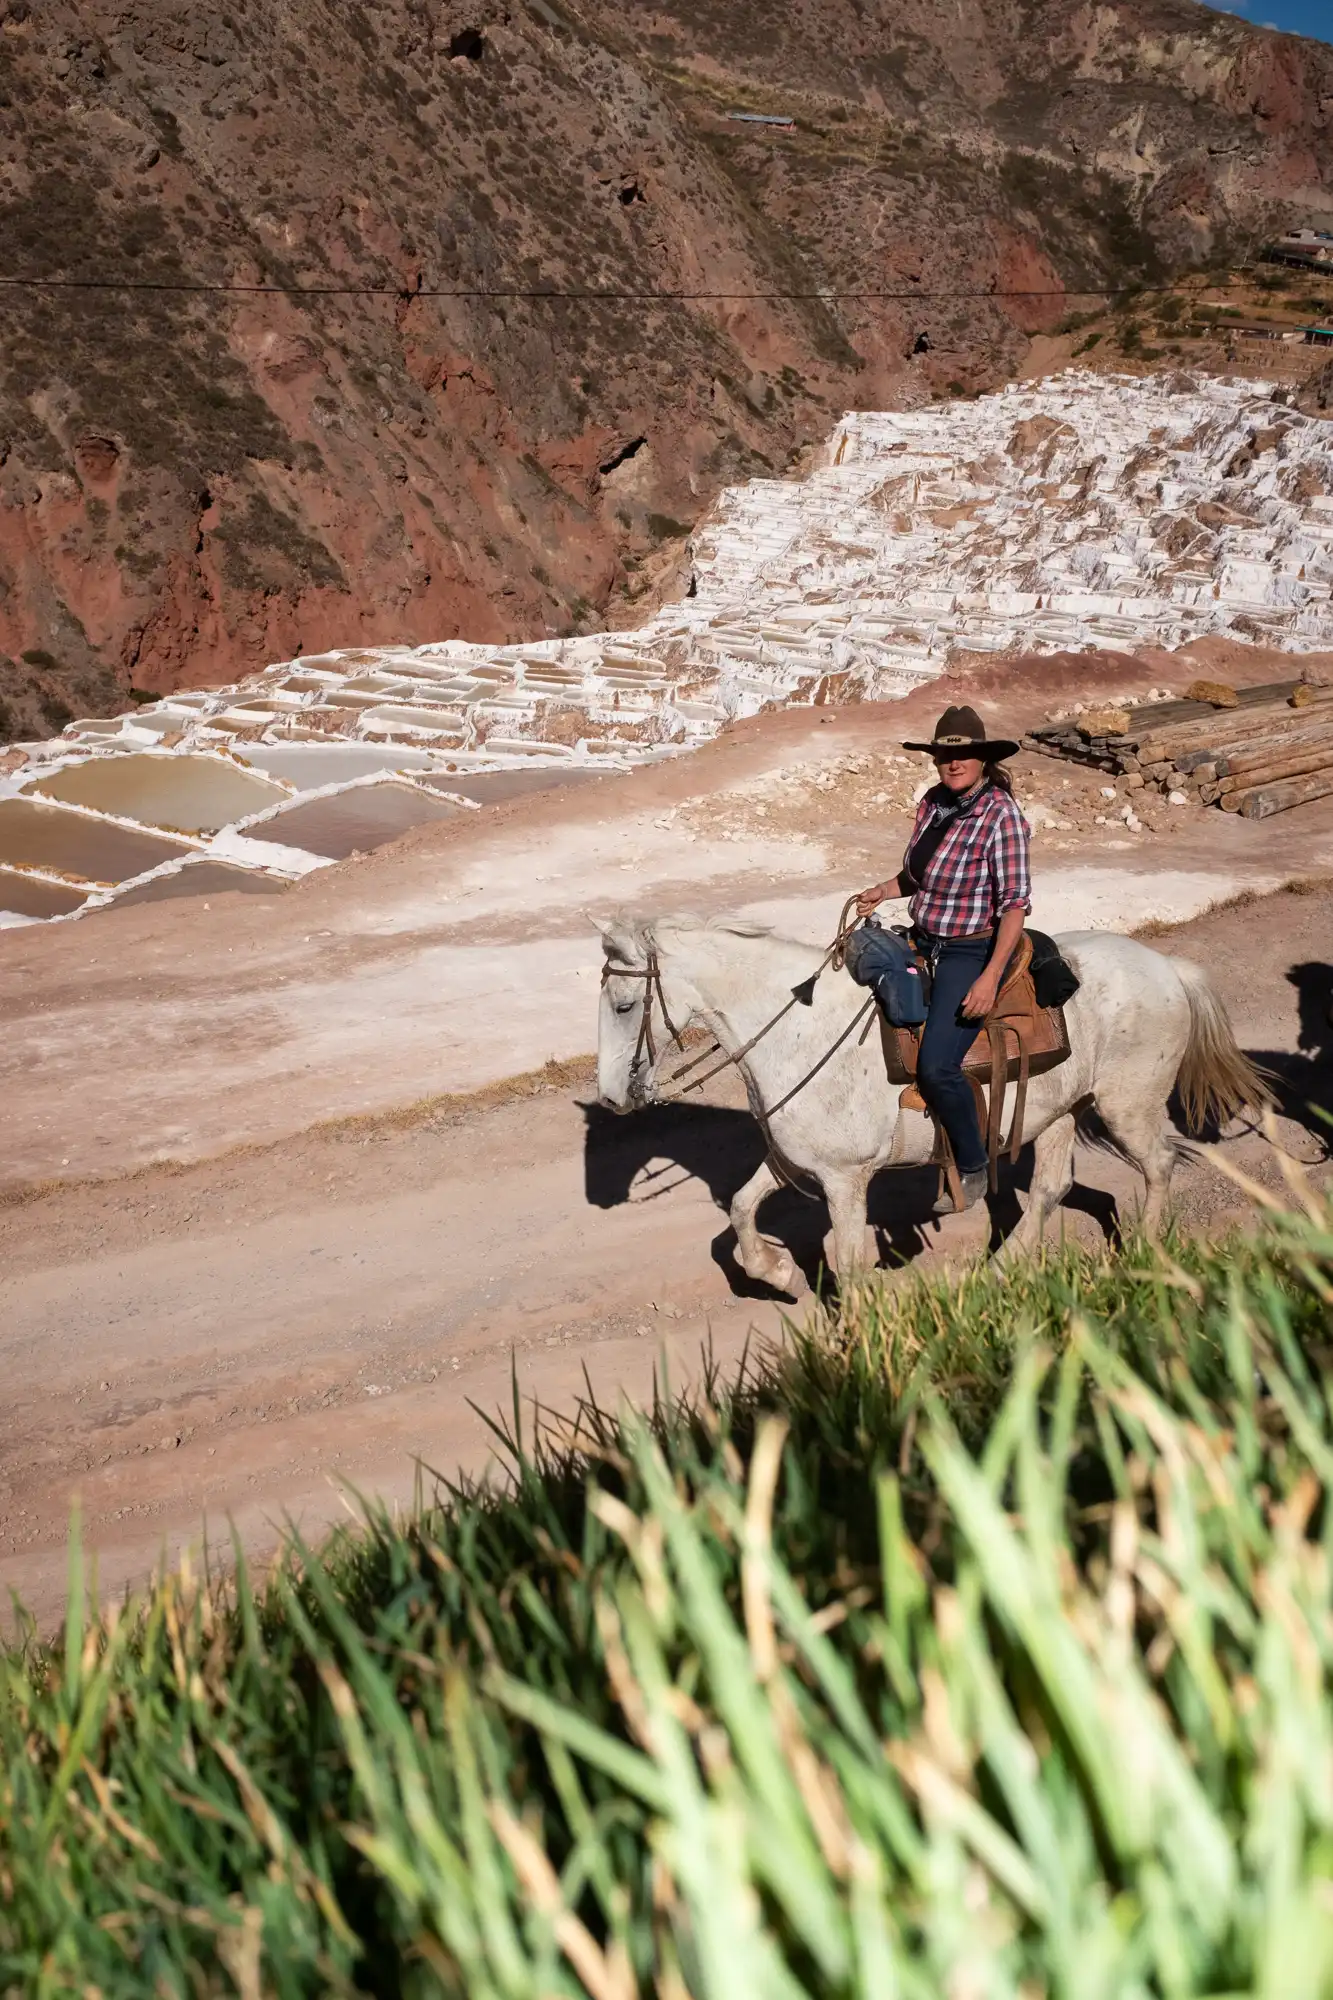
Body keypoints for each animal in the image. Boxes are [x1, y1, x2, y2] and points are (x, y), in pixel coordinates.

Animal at [592, 908, 1264, 1280]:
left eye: (624, 1006)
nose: (611, 1099)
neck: (798, 1031)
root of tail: (1168, 968)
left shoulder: (845, 1181)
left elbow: (850, 1264)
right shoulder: (792, 1162)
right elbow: (737, 1210)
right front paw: (776, 1273)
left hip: (1129, 1106)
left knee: (1158, 1164)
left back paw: (1149, 1252)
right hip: (1060, 1112)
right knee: (1052, 1187)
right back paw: (1005, 1266)